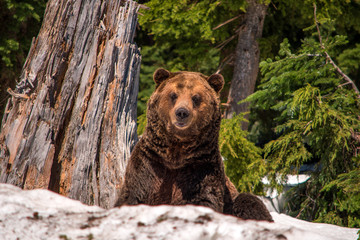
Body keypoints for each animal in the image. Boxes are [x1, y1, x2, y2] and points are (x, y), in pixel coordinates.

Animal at [115, 67, 272, 221]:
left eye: (196, 97)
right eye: (173, 95)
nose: (182, 112)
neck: (176, 152)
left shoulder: (201, 167)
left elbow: (202, 198)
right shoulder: (150, 162)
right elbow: (135, 194)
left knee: (248, 201)